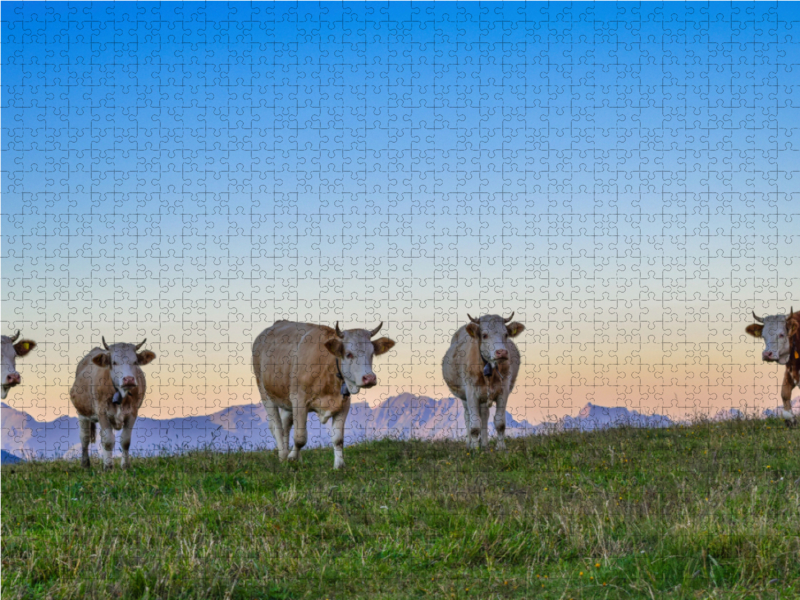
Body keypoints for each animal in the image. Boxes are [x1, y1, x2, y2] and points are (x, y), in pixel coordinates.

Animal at [70, 338, 156, 468]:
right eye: (114, 362)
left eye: (135, 362)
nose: (129, 379)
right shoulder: (102, 412)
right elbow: (108, 441)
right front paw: (108, 467)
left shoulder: (132, 413)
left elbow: (125, 441)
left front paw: (125, 466)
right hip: (82, 413)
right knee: (85, 438)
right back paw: (85, 464)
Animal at [252, 322, 396, 472]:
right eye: (349, 354)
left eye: (371, 353)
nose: (369, 378)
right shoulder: (299, 400)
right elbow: (300, 437)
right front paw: (291, 457)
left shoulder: (343, 404)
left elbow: (338, 439)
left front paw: (339, 465)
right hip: (265, 392)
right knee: (276, 426)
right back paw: (283, 456)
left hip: (286, 399)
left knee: (286, 423)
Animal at [444, 314, 524, 450]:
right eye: (485, 335)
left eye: (505, 334)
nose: (502, 352)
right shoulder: (470, 392)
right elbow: (474, 424)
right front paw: (475, 449)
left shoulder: (503, 390)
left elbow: (500, 422)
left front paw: (501, 447)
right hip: (464, 397)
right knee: (467, 417)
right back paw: (470, 444)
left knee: (485, 415)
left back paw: (485, 444)